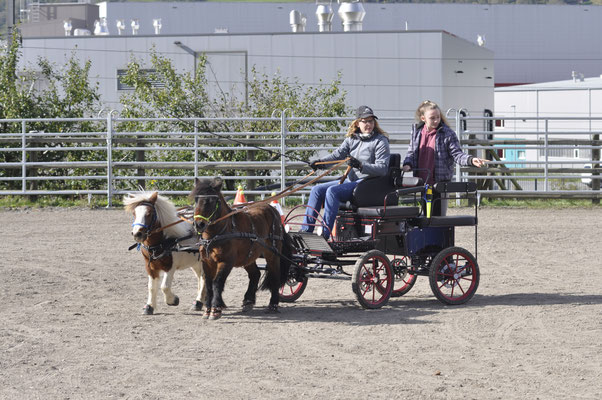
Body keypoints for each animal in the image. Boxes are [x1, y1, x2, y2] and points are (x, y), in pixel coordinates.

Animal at [189, 177, 290, 320]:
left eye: (212, 201)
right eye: (196, 199)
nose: (199, 224)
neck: (216, 235)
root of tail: (271, 209)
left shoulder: (226, 262)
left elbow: (217, 283)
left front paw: (215, 309)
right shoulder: (207, 262)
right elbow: (208, 284)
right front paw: (207, 309)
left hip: (272, 253)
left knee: (275, 274)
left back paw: (273, 304)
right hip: (248, 256)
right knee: (255, 274)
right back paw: (248, 301)